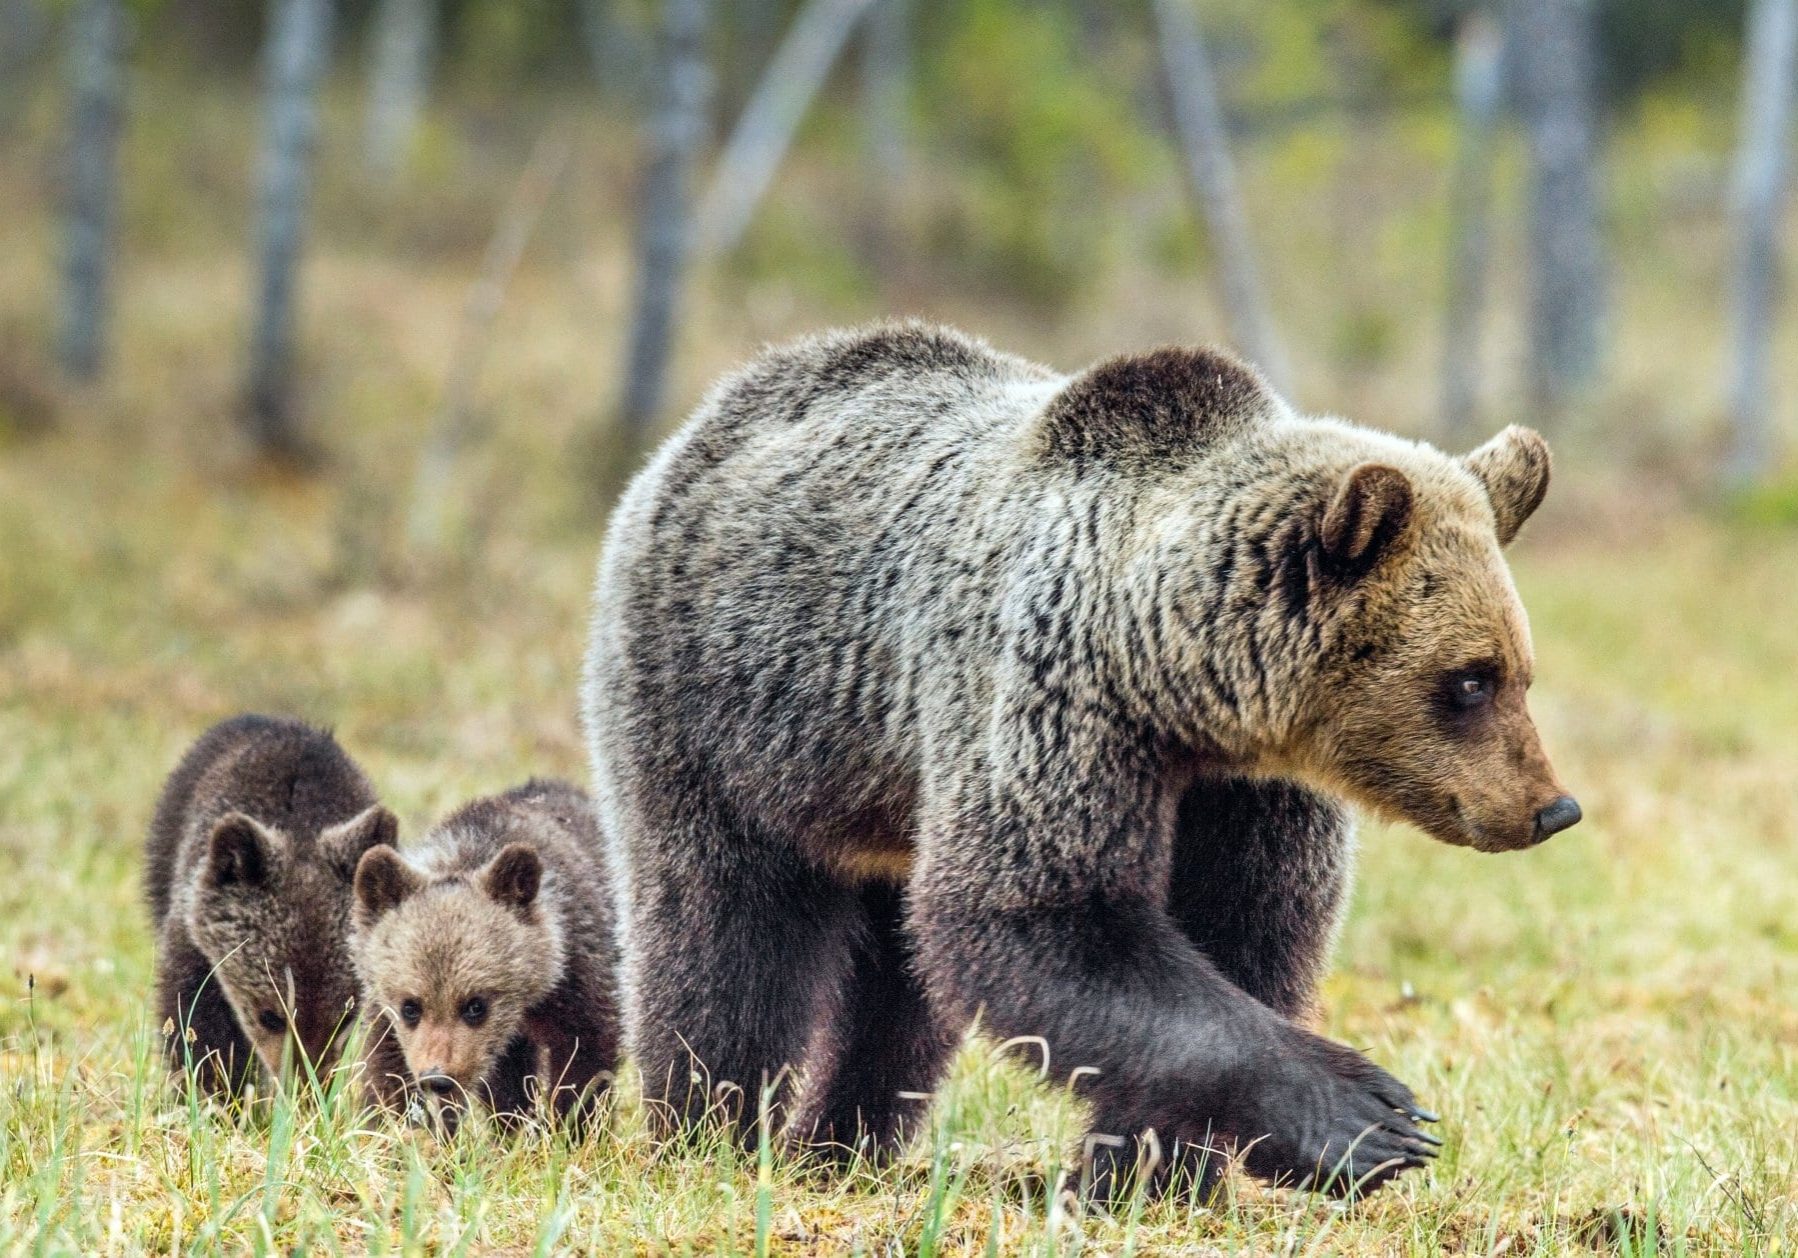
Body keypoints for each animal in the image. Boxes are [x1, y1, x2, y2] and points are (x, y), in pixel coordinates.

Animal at [146, 711, 400, 1092]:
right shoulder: (194, 937)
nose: (304, 1086)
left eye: (344, 1018)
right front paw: (217, 1091)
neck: (301, 824)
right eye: (270, 1016)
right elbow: (195, 1020)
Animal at [347, 776, 622, 1128]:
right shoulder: (386, 1012)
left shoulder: (580, 974)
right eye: (410, 1007)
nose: (437, 1078)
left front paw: (572, 1127)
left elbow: (585, 1057)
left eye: (476, 1005)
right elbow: (387, 1068)